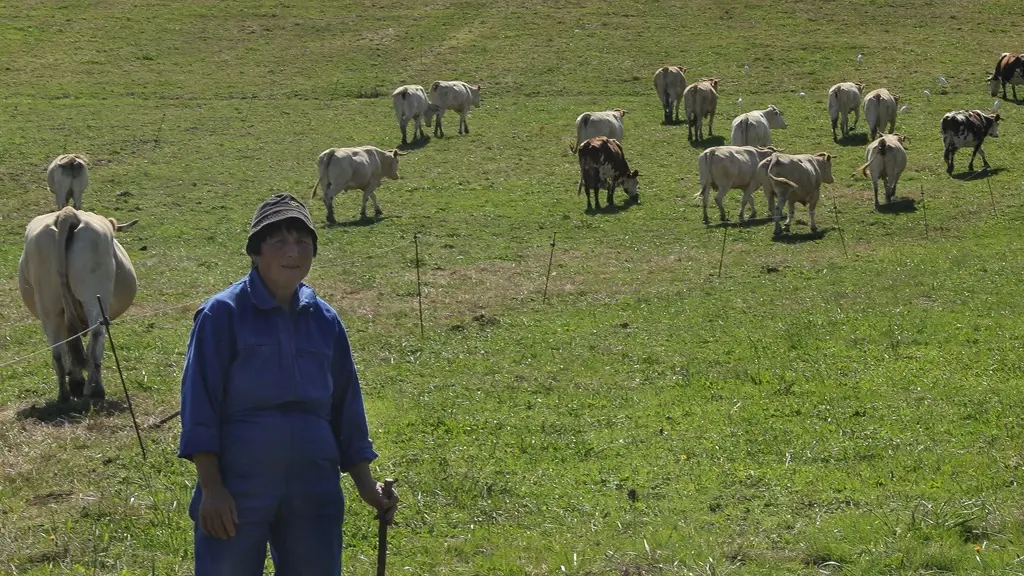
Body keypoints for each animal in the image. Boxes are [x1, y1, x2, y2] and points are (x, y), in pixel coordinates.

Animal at [17, 207, 138, 403]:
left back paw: (64, 393)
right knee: (96, 336)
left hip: (49, 306)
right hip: (95, 298)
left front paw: (75, 380)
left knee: (58, 350)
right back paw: (94, 389)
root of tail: (68, 213)